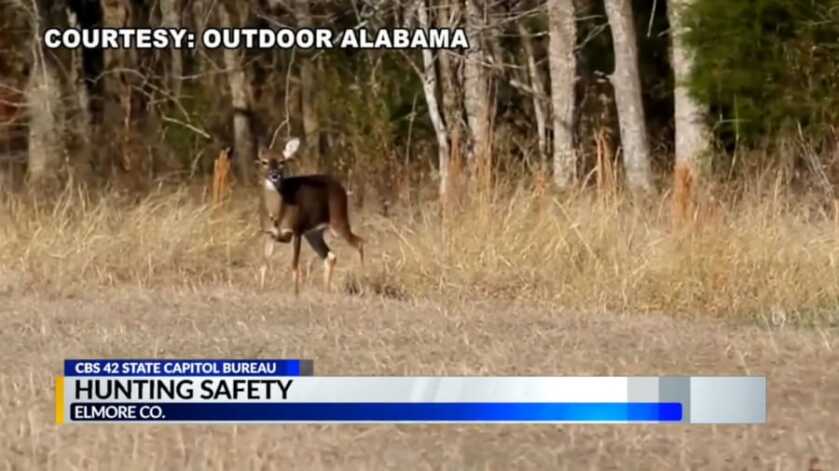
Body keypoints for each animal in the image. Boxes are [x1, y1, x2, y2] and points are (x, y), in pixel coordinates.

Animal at [256, 137, 364, 295]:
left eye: (282, 162)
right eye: (264, 161)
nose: (274, 175)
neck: (277, 213)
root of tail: (341, 187)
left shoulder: (296, 230)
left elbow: (294, 264)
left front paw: (295, 293)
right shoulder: (269, 233)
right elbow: (264, 264)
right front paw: (260, 289)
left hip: (338, 219)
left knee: (359, 242)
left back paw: (362, 280)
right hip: (314, 233)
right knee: (330, 255)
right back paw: (326, 289)